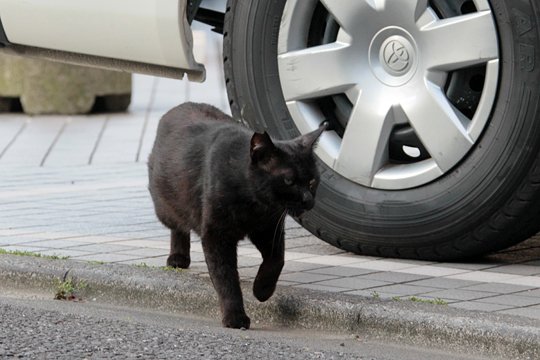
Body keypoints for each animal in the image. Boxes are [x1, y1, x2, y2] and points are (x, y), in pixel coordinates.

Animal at [148, 102, 324, 330]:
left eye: (312, 181)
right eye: (289, 181)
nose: (308, 200)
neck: (254, 205)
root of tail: (179, 106)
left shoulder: (269, 228)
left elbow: (277, 260)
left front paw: (262, 290)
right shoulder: (216, 236)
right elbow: (226, 278)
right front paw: (235, 317)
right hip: (165, 208)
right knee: (178, 226)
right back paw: (178, 257)